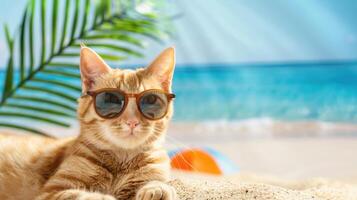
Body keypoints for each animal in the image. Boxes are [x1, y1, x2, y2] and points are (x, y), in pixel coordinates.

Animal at [0, 45, 177, 200]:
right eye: (110, 99)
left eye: (151, 100)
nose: (132, 121)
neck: (121, 162)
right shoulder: (52, 192)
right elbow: (84, 195)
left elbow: (158, 183)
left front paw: (158, 189)